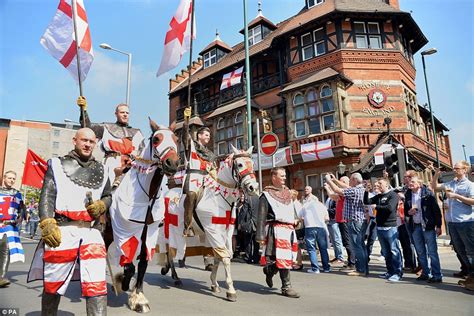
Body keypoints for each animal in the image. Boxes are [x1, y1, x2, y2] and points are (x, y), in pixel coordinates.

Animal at [107, 119, 180, 314]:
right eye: (156, 139)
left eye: (176, 139)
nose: (172, 163)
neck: (147, 196)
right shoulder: (123, 231)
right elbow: (129, 265)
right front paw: (124, 283)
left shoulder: (149, 232)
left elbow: (142, 264)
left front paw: (138, 296)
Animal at [162, 145, 260, 302]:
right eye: (239, 164)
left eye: (252, 164)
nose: (253, 187)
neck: (219, 197)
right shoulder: (213, 230)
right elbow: (224, 257)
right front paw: (231, 290)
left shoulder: (226, 232)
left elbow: (220, 256)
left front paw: (214, 284)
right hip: (171, 230)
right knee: (170, 252)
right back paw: (176, 277)